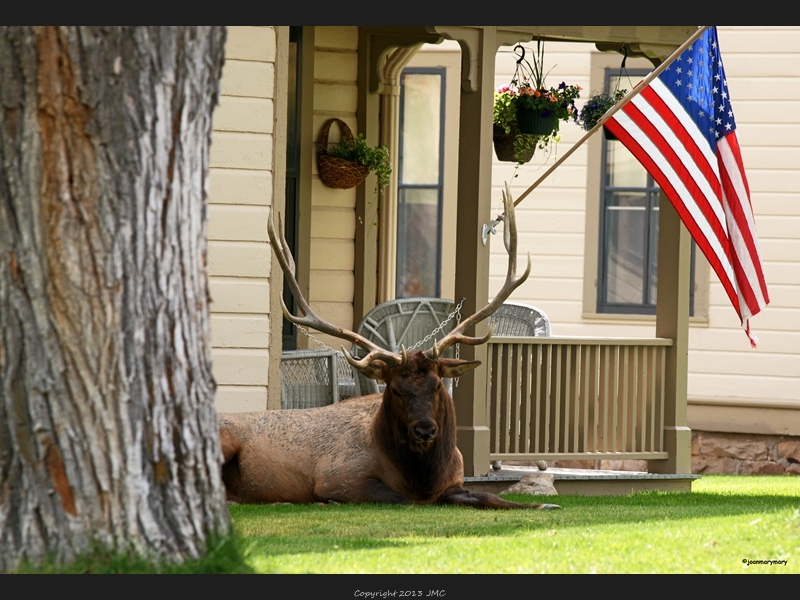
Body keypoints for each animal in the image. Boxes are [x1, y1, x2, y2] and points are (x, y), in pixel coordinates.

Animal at [216, 185, 560, 508]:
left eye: (437, 385)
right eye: (395, 389)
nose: (425, 430)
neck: (423, 481)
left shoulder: (453, 484)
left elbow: (489, 497)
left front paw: (544, 503)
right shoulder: (336, 476)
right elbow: (399, 498)